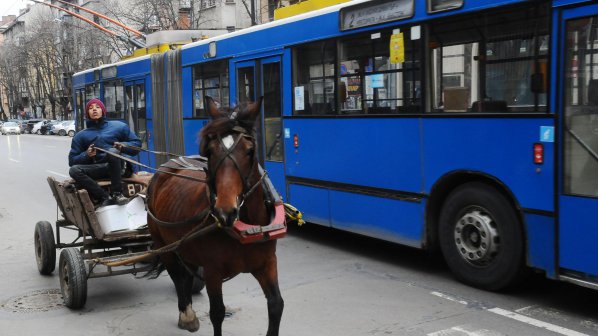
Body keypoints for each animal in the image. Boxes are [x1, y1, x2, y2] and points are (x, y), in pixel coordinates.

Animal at [146, 96, 284, 334]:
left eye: (250, 150)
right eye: (209, 151)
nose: (225, 211)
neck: (247, 227)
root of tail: (167, 166)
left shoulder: (267, 264)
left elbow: (276, 305)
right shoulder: (213, 271)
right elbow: (217, 312)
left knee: (186, 275)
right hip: (164, 244)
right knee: (177, 276)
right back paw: (187, 314)